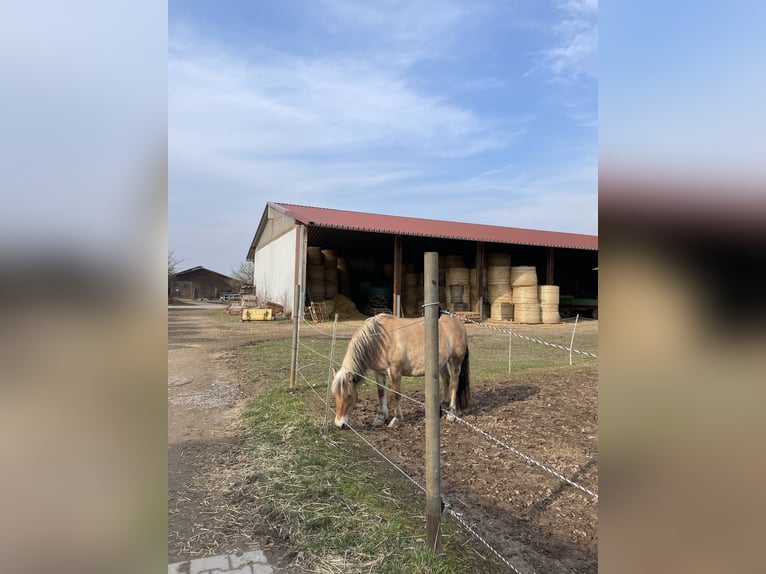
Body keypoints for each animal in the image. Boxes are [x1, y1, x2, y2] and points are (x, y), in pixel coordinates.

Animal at [331, 313, 470, 428]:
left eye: (349, 396)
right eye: (335, 395)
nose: (339, 424)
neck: (379, 339)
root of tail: (458, 322)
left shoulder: (395, 371)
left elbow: (395, 395)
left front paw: (396, 419)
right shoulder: (379, 372)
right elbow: (381, 393)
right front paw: (380, 418)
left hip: (455, 361)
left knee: (454, 384)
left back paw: (451, 414)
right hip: (441, 363)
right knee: (446, 380)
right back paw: (443, 406)